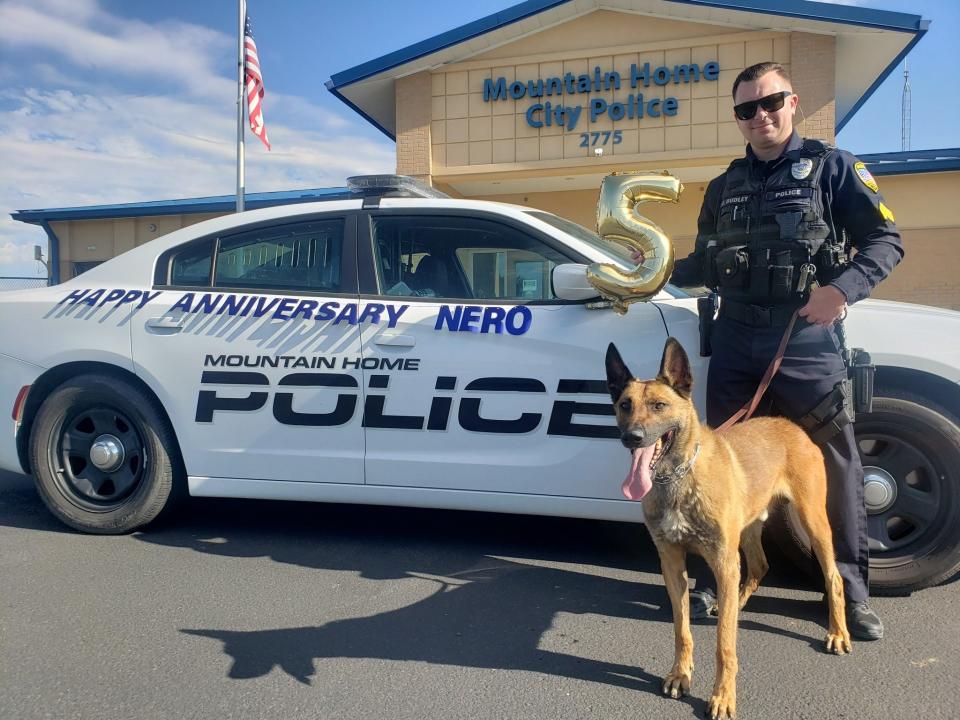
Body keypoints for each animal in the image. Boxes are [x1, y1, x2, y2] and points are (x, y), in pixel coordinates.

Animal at [604, 338, 852, 720]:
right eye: (624, 405)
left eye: (659, 405)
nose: (632, 437)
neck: (678, 478)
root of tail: (789, 425)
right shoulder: (672, 564)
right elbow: (682, 629)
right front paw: (680, 674)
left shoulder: (722, 559)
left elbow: (725, 644)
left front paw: (722, 696)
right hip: (748, 529)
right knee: (759, 566)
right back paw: (733, 602)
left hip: (813, 523)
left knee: (834, 577)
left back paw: (838, 632)